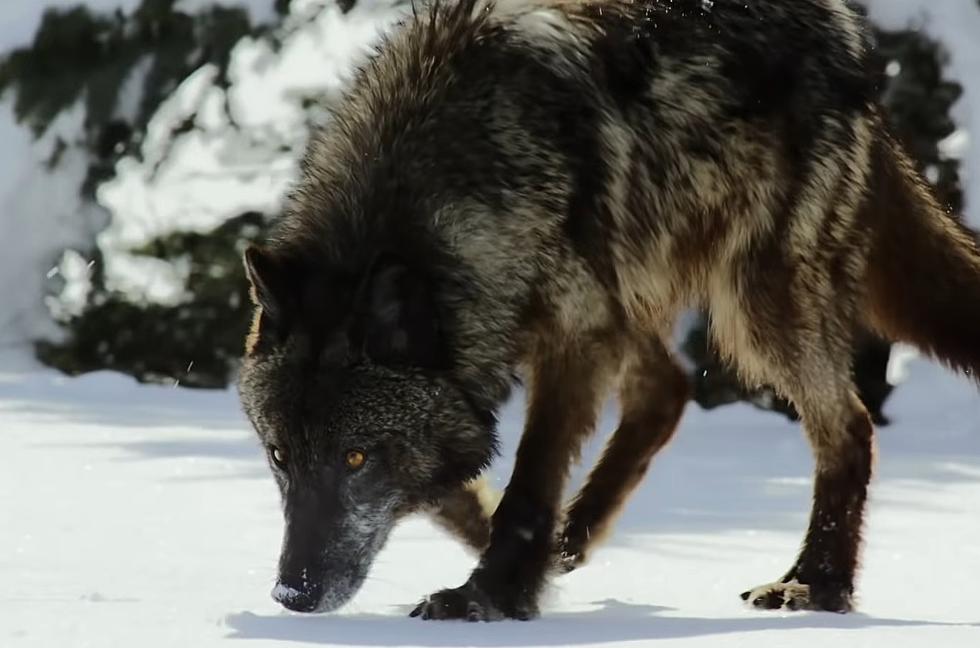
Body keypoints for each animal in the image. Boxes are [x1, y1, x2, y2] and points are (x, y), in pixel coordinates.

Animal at [237, 0, 980, 620]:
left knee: (848, 426)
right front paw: (519, 561)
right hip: (640, 293)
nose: (293, 593)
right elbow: (455, 483)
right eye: (279, 456)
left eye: (356, 458)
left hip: (752, 308)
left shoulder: (572, 336)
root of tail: (852, 40)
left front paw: (491, 595)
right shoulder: (534, 340)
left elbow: (530, 482)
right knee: (668, 389)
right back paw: (579, 536)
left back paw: (816, 584)